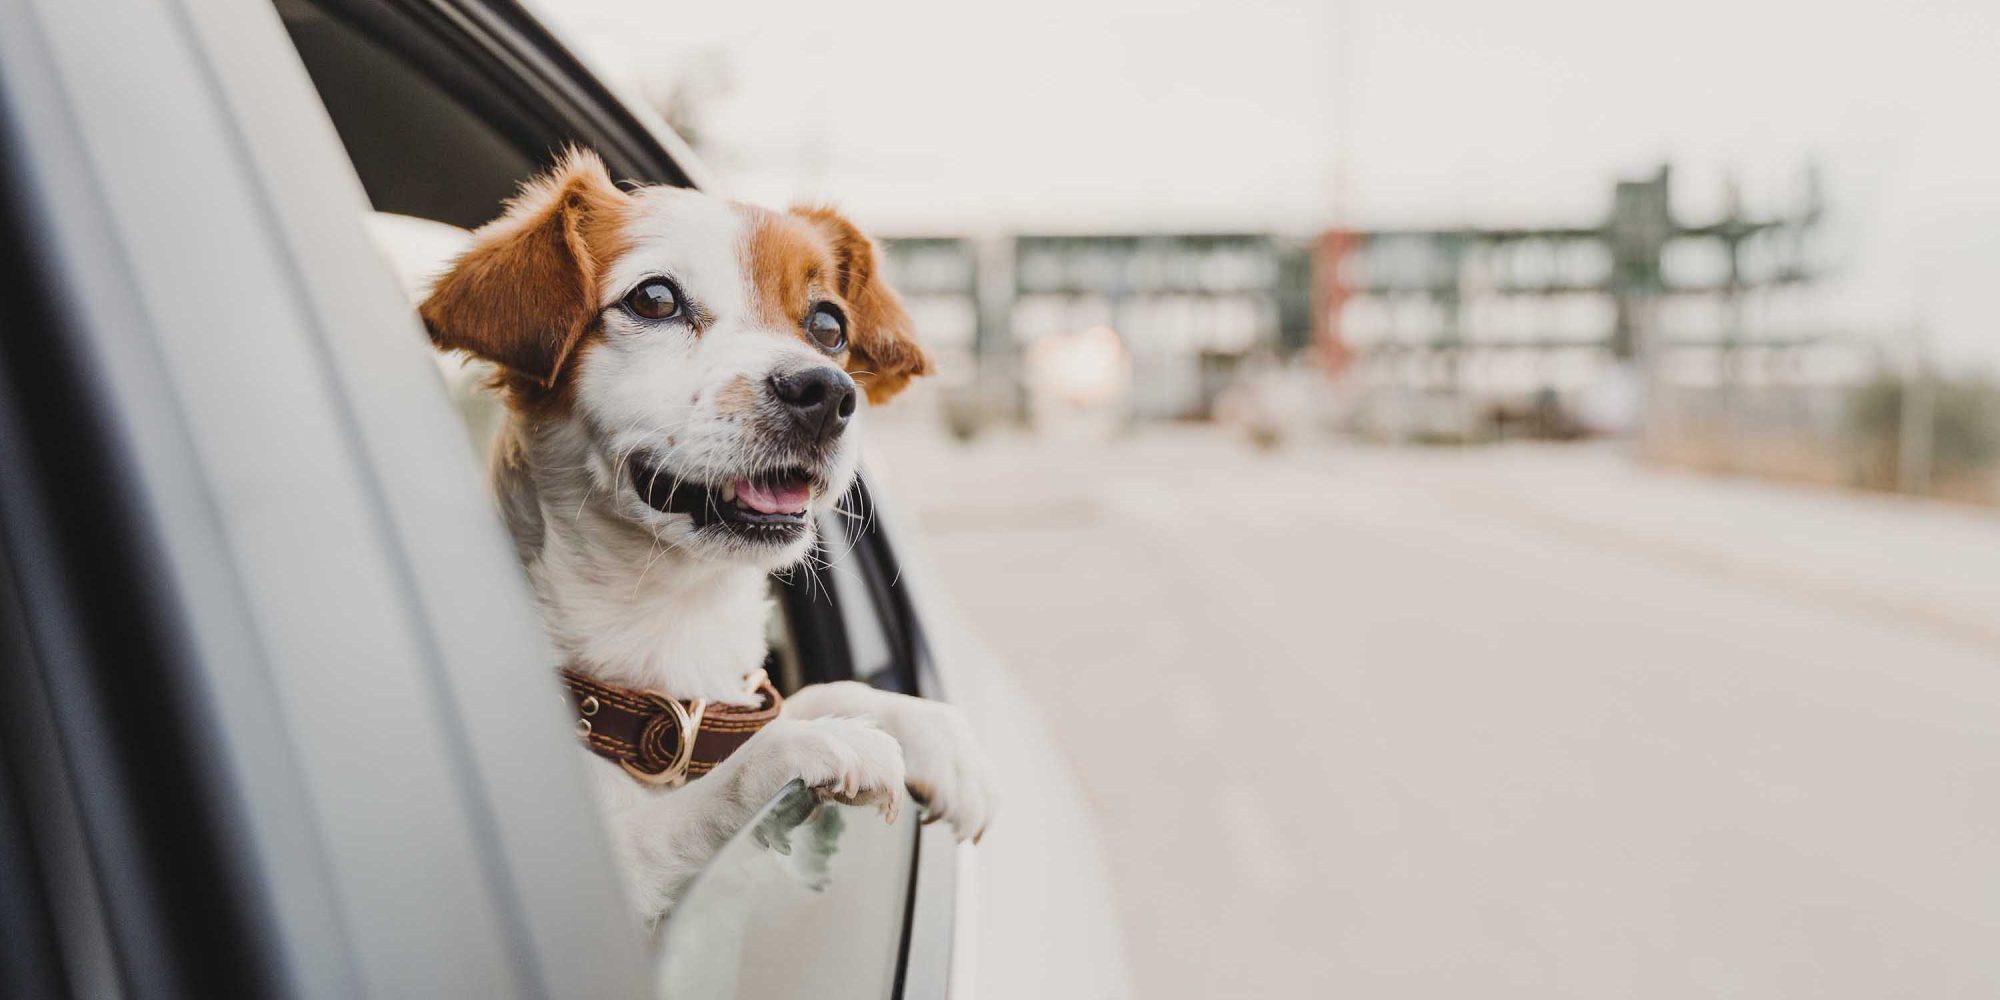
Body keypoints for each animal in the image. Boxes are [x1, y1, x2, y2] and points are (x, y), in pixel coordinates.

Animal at [414, 148, 992, 920]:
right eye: (655, 299)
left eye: (829, 326)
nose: (825, 392)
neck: (672, 625)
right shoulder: (621, 879)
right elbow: (714, 793)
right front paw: (816, 746)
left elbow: (802, 698)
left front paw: (924, 728)